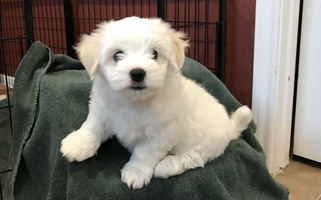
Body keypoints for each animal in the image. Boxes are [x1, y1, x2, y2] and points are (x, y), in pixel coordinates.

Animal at [58, 16, 251, 189]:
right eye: (117, 55)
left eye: (155, 54)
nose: (137, 73)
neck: (134, 101)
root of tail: (229, 128)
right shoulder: (102, 109)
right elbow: (93, 126)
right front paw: (78, 144)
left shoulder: (161, 133)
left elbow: (144, 152)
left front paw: (135, 172)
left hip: (207, 143)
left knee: (194, 157)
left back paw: (167, 166)